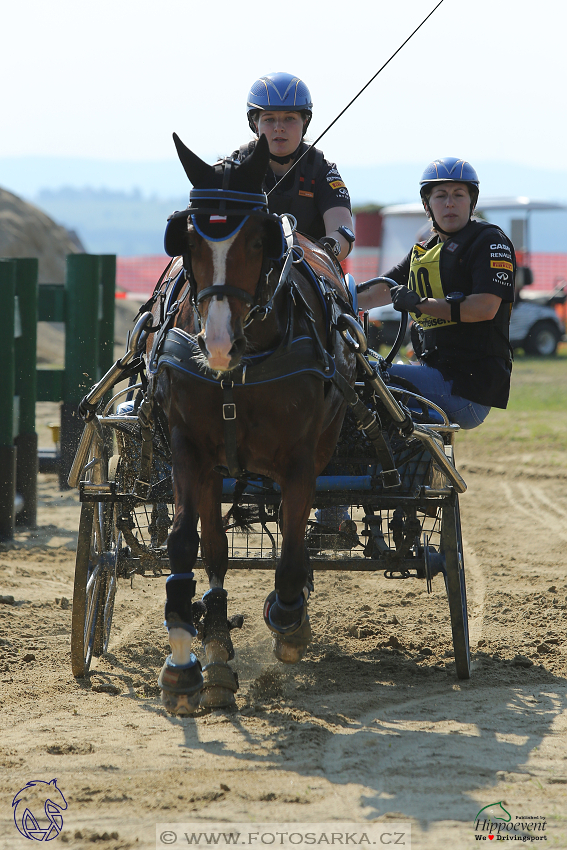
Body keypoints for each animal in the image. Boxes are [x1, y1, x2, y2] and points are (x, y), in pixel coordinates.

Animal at [149, 134, 358, 716]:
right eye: (187, 239)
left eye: (258, 240)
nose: (218, 344)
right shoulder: (189, 448)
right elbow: (185, 544)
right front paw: (184, 664)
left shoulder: (301, 459)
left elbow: (289, 555)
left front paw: (289, 623)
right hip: (215, 469)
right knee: (217, 549)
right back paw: (218, 650)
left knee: (293, 539)